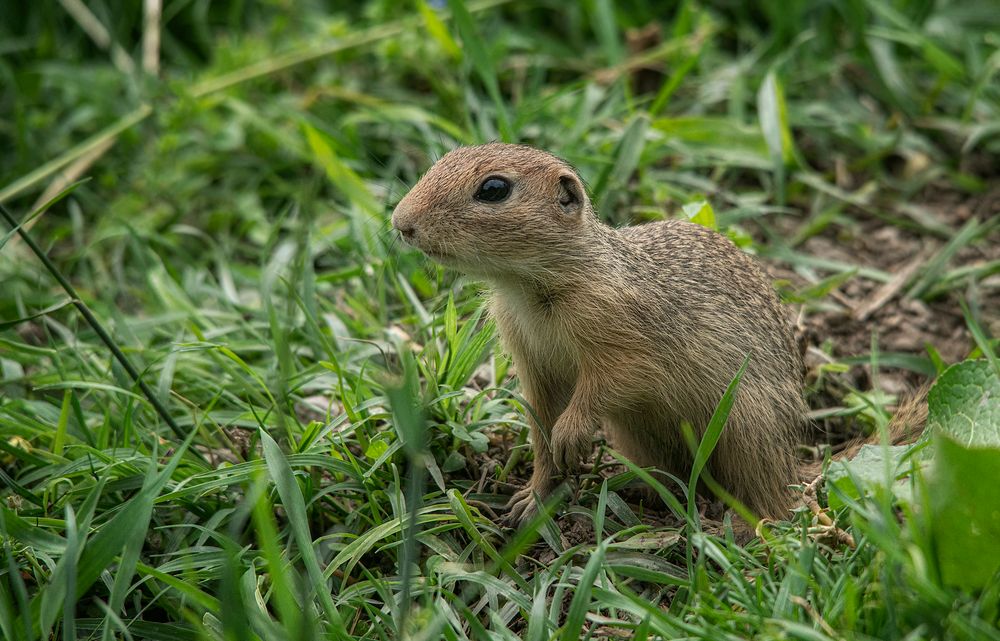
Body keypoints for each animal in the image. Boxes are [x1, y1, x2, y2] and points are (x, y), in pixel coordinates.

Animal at [394, 142, 808, 524]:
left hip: (747, 428)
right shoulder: (531, 360)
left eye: (493, 189)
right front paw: (531, 499)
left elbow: (617, 380)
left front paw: (569, 435)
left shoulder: (621, 330)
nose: (401, 222)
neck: (530, 287)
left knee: (767, 493)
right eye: (443, 160)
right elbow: (541, 429)